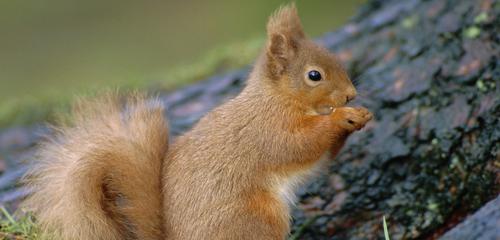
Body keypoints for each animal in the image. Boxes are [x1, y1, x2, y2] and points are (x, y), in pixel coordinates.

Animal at [20, 3, 372, 240]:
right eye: (314, 75)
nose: (351, 95)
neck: (278, 99)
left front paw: (361, 116)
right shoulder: (269, 130)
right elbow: (300, 144)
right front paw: (342, 117)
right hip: (254, 218)